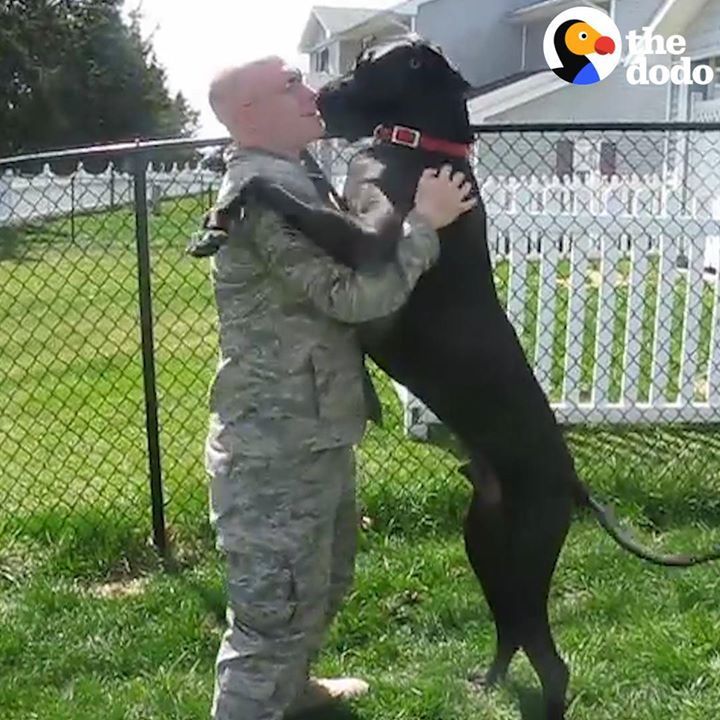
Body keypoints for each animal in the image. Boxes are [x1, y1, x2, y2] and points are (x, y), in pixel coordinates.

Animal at [194, 38, 720, 720]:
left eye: (364, 68)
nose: (317, 95)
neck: (423, 145)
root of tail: (574, 482)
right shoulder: (348, 213)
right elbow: (313, 187)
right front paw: (223, 176)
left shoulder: (370, 243)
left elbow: (293, 198)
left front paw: (239, 195)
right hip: (484, 541)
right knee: (510, 630)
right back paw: (487, 682)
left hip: (525, 553)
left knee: (549, 656)